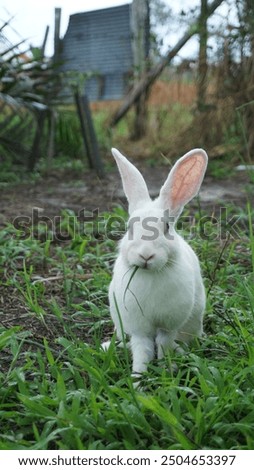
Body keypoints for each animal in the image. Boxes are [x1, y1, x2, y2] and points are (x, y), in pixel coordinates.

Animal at [108, 149, 207, 376]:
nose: (146, 255)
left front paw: (167, 370)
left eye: (167, 228)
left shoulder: (168, 324)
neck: (150, 274)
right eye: (130, 227)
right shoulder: (138, 327)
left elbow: (164, 344)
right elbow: (141, 350)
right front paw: (137, 378)